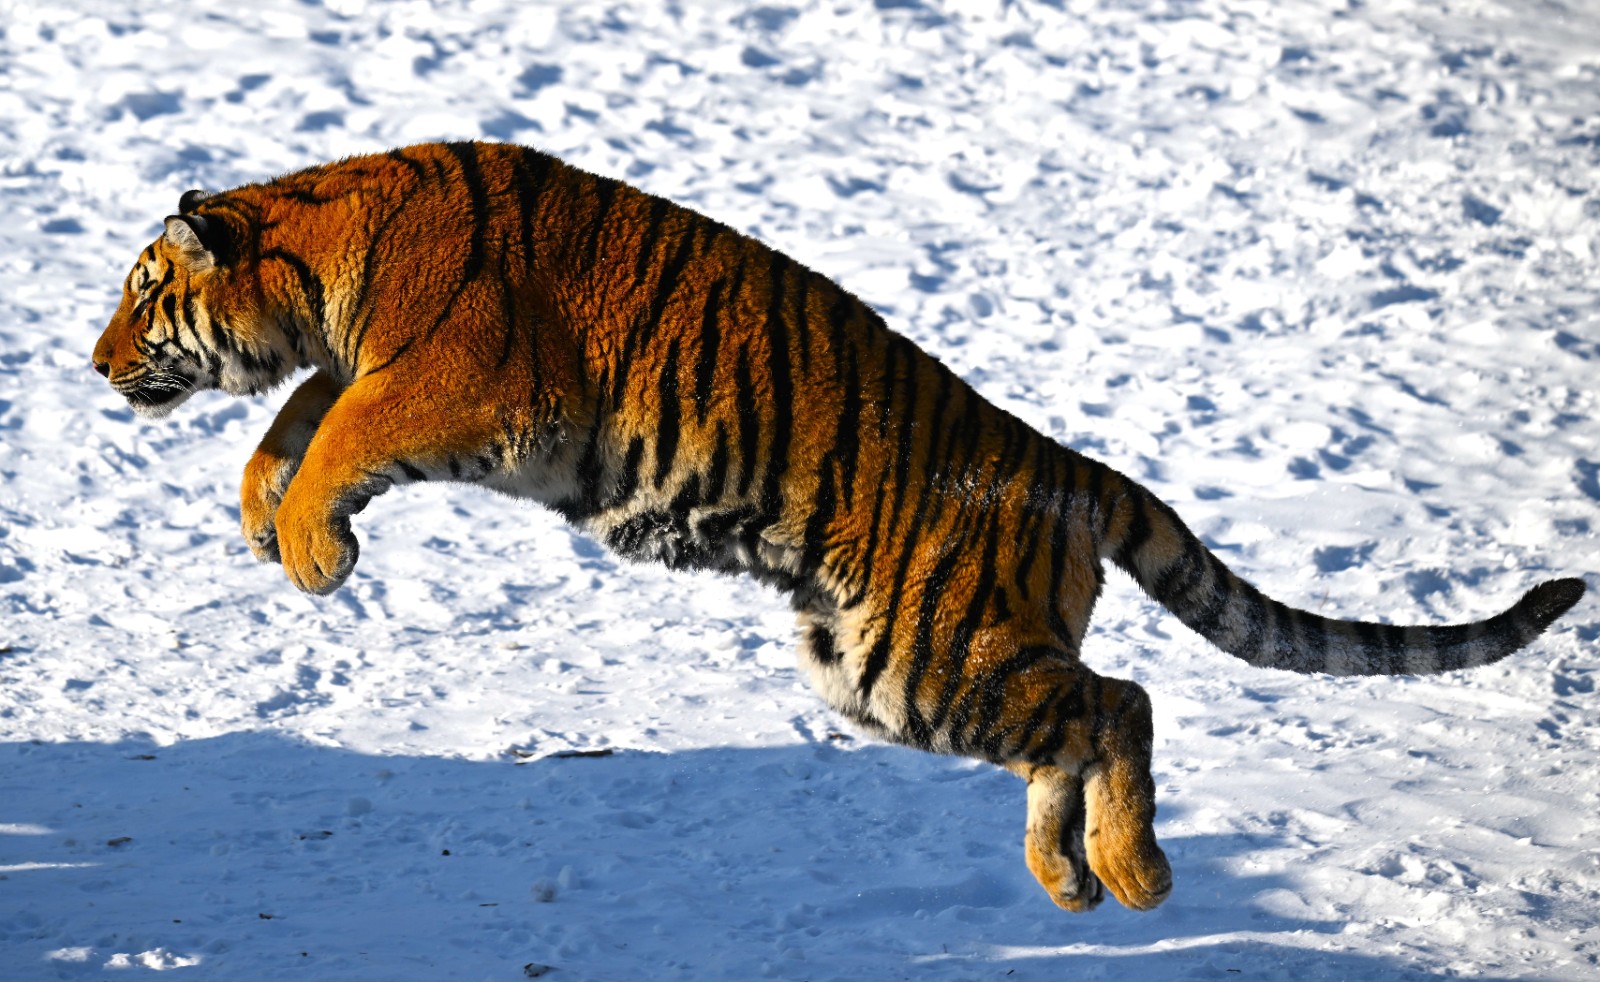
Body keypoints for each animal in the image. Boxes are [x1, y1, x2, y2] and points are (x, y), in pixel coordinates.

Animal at [92, 141, 1585, 913]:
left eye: (143, 291)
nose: (97, 361)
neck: (329, 251)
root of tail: (1064, 463)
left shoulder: (468, 379)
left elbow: (337, 426)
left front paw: (312, 549)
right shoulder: (365, 367)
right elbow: (293, 418)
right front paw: (262, 514)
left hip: (931, 653)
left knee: (1126, 700)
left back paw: (1135, 870)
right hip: (896, 668)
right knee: (1083, 713)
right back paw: (1068, 878)